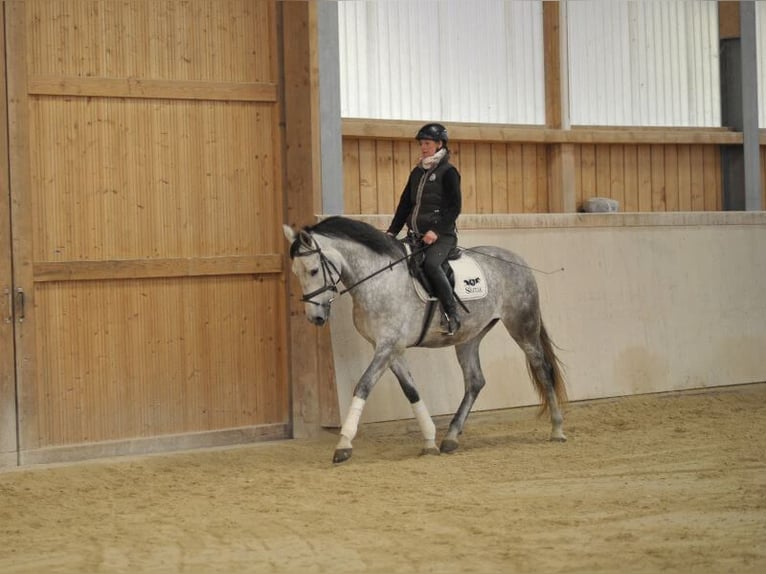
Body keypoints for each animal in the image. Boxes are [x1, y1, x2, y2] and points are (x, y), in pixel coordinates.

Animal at [284, 218, 568, 466]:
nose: (316, 317)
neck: (378, 278)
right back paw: (450, 438)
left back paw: (557, 429)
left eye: (313, 270)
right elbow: (411, 391)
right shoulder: (392, 349)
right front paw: (430, 441)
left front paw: (343, 444)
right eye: (296, 272)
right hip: (469, 337)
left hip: (523, 327)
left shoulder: (387, 346)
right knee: (475, 381)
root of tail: (517, 260)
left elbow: (363, 385)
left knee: (543, 370)